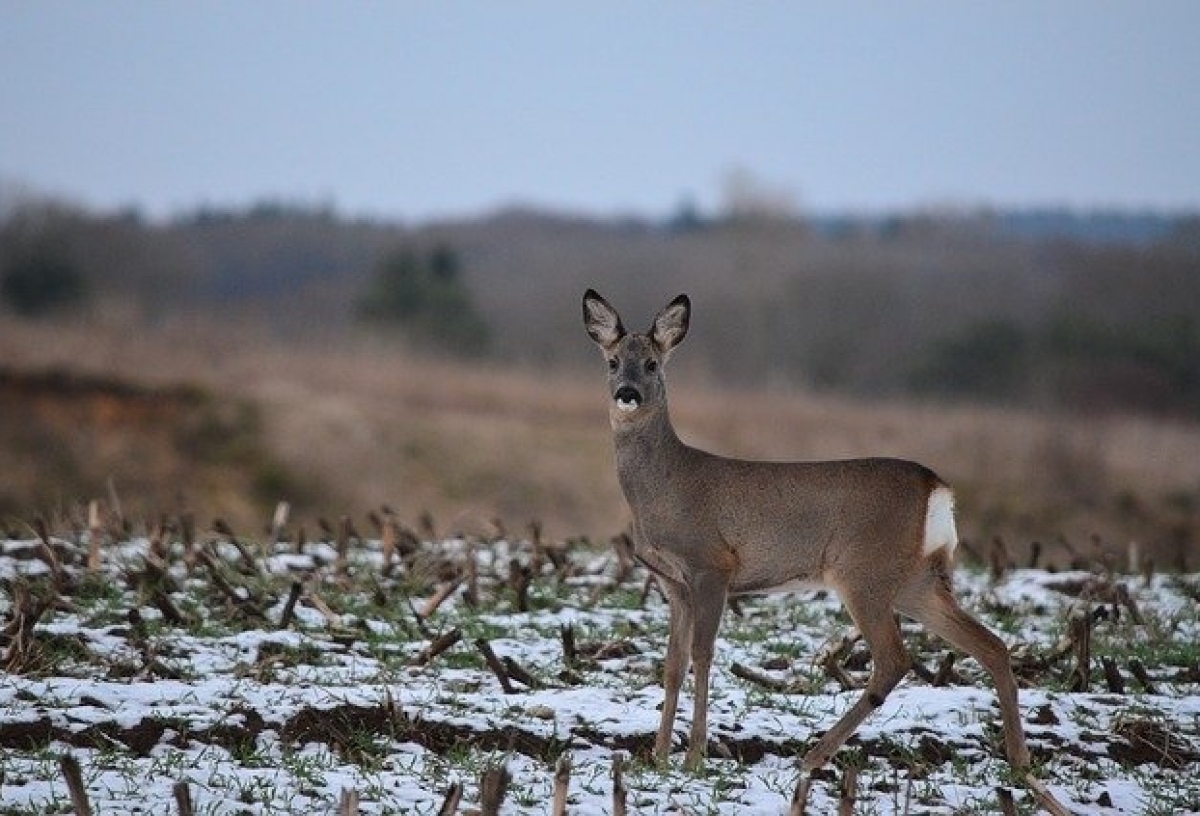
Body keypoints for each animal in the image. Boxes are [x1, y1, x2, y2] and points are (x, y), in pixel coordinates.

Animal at [578, 288, 1041, 792]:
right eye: (612, 362)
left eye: (652, 364)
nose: (627, 393)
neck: (667, 486)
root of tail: (937, 487)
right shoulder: (672, 582)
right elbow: (672, 663)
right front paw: (658, 756)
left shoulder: (712, 565)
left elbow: (702, 655)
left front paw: (694, 757)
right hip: (915, 580)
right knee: (991, 645)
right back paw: (1021, 763)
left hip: (863, 572)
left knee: (894, 659)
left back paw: (813, 757)